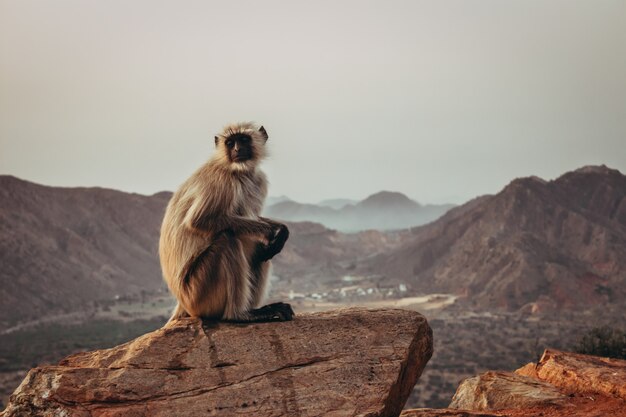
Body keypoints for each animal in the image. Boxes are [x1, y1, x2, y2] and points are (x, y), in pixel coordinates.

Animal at [156, 122, 292, 324]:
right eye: (230, 143)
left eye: (243, 139)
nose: (237, 149)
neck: (237, 170)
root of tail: (183, 304)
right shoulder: (222, 180)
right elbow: (199, 220)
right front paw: (272, 231)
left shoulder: (258, 180)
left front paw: (281, 230)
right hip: (198, 292)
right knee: (228, 239)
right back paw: (239, 315)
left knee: (260, 251)